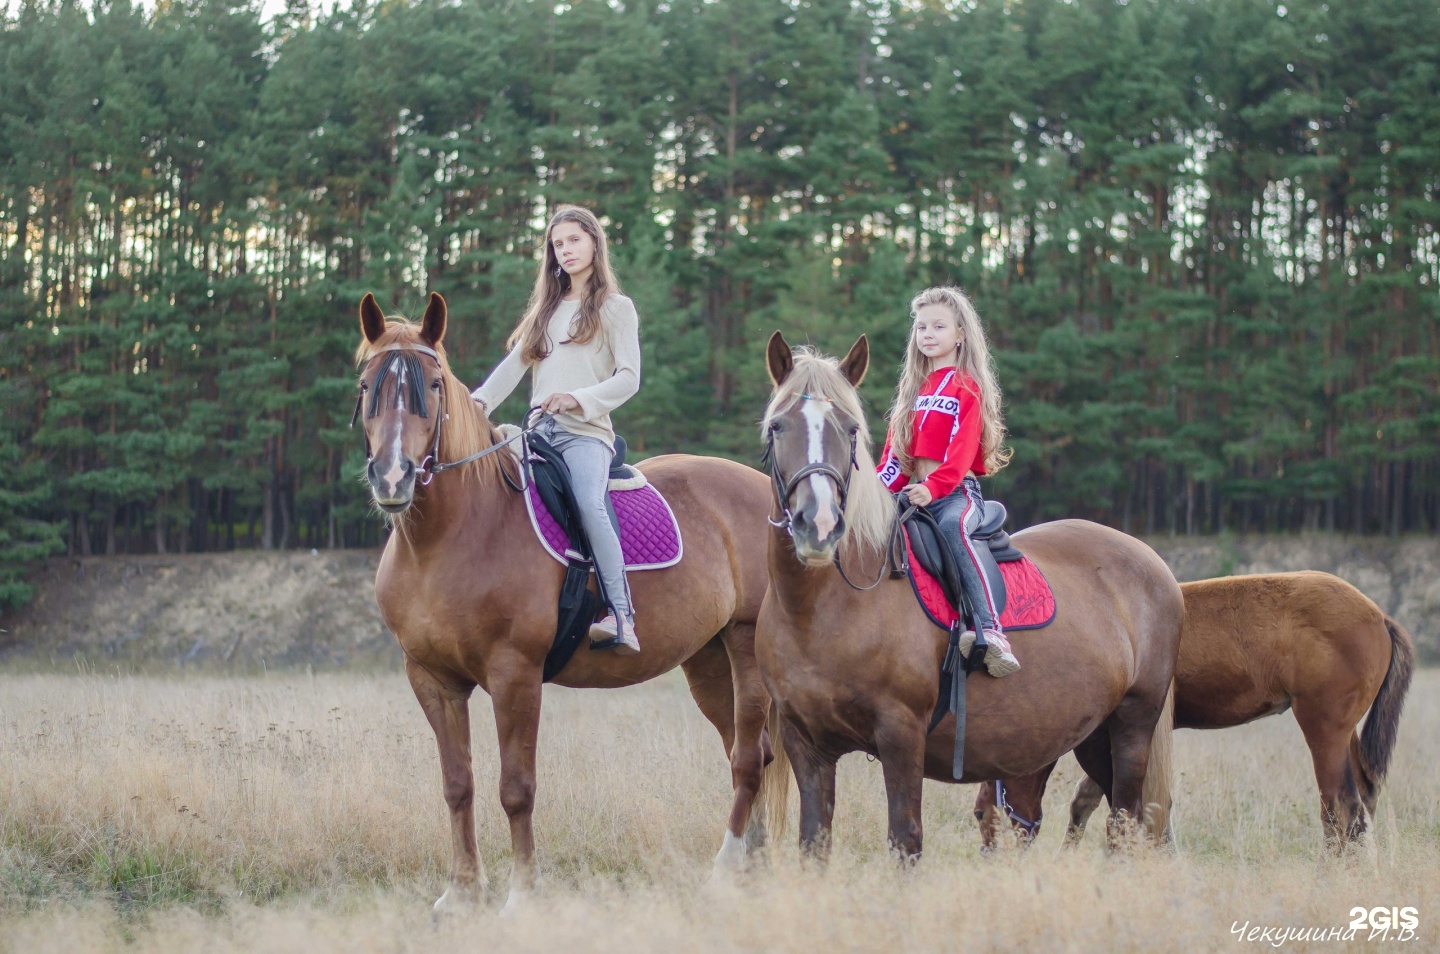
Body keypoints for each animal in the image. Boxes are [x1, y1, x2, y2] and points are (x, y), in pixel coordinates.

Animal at [355, 295, 783, 916]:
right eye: (367, 385)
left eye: (432, 385)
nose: (392, 477)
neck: (452, 535)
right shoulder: (432, 679)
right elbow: (457, 784)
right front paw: (460, 894)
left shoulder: (515, 675)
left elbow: (516, 788)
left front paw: (521, 896)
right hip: (707, 661)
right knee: (753, 753)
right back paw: (755, 864)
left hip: (745, 646)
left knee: (749, 757)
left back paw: (726, 868)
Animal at [754, 335, 1180, 858]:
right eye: (778, 426)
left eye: (850, 430)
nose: (819, 525)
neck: (819, 612)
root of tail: (1154, 563)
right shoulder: (806, 744)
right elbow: (814, 842)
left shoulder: (901, 735)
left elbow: (905, 838)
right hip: (1094, 736)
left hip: (1132, 726)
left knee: (1125, 824)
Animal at [973, 570, 1411, 853]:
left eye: (980, 815)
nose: (993, 861)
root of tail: (1380, 617)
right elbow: (1089, 800)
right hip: (1345, 731)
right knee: (1363, 799)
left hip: (1323, 728)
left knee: (1341, 808)